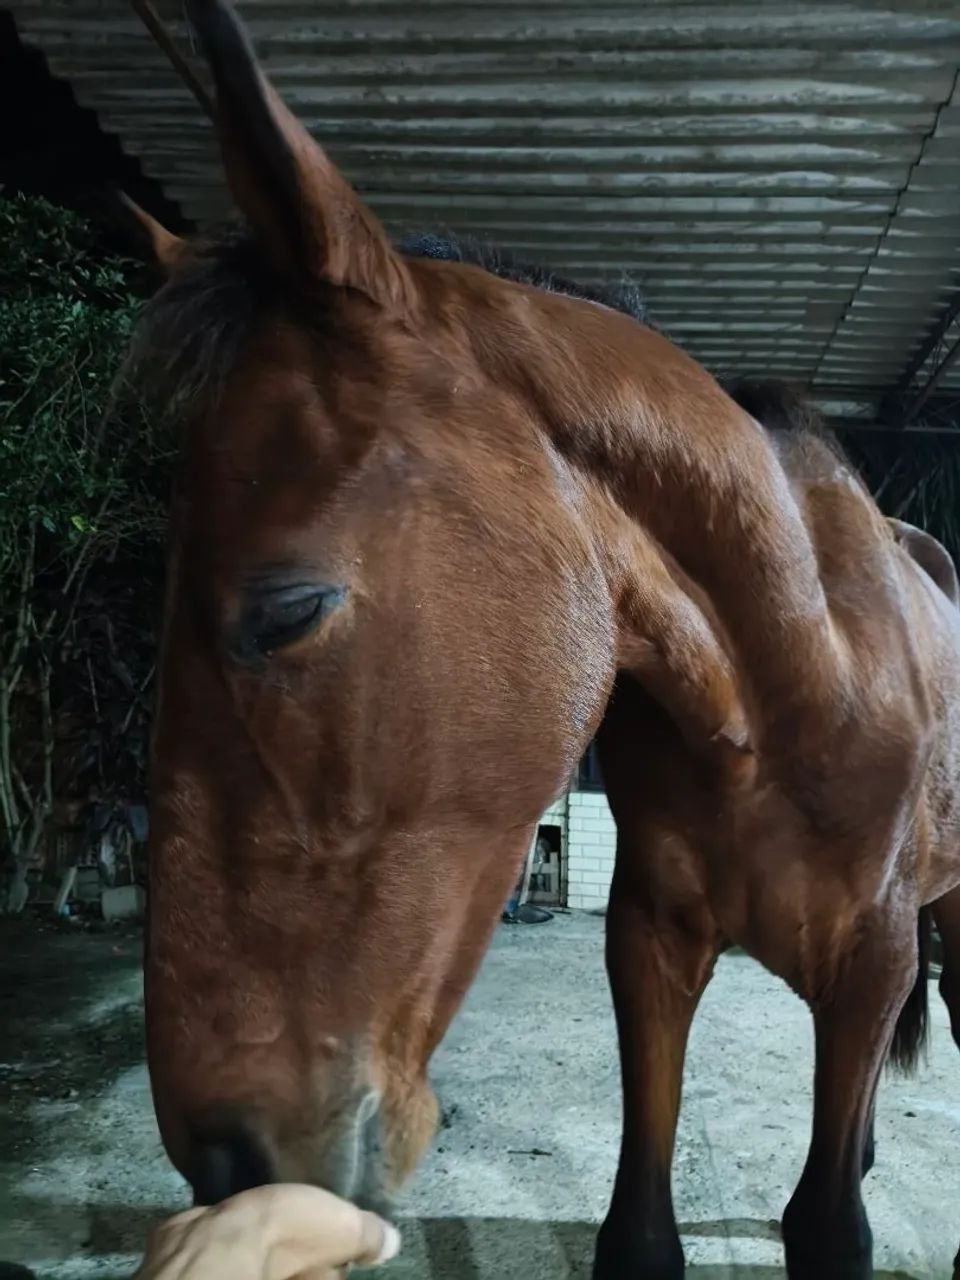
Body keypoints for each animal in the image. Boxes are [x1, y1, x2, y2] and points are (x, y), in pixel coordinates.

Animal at [124, 3, 960, 1277]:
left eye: (288, 609)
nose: (224, 1156)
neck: (792, 687)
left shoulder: (873, 954)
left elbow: (826, 1226)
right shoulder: (652, 942)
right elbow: (645, 1229)